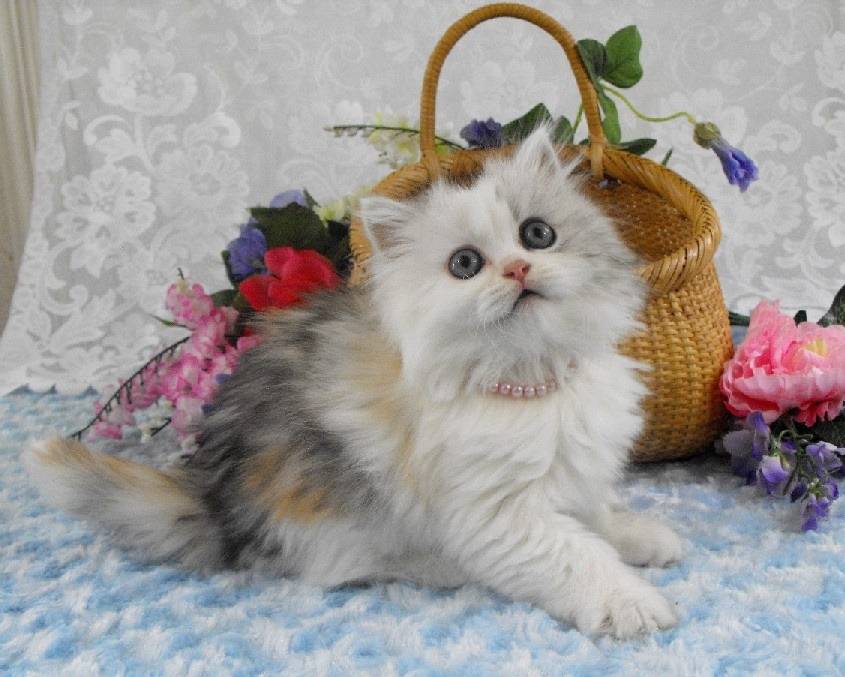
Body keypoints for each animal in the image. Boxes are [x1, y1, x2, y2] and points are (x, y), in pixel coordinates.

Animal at [25, 126, 683, 639]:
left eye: (538, 234)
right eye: (466, 265)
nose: (518, 268)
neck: (532, 381)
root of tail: (217, 504)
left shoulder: (579, 465)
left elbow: (597, 515)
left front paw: (639, 537)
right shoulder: (500, 514)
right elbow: (576, 555)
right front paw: (629, 602)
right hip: (333, 511)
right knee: (345, 568)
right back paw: (443, 568)